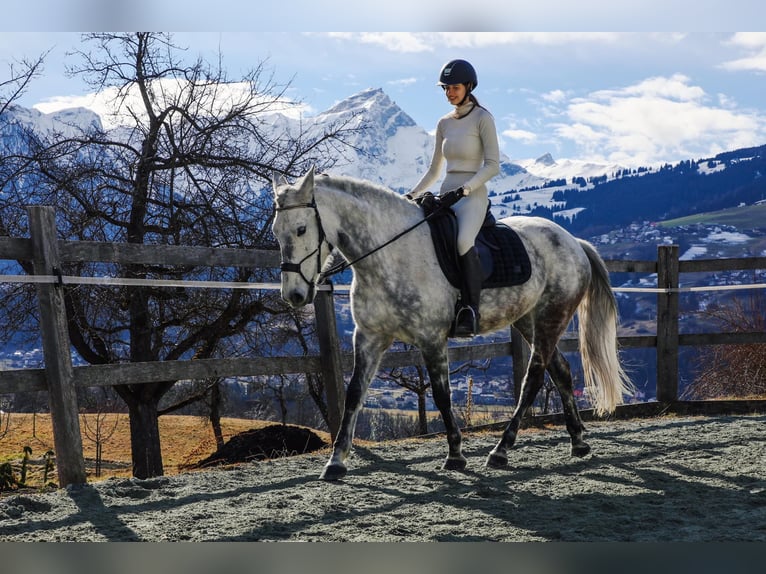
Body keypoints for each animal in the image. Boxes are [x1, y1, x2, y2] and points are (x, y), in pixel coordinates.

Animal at [272, 168, 632, 482]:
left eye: (302, 229)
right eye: (276, 231)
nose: (294, 295)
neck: (390, 255)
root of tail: (573, 242)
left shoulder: (431, 339)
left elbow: (442, 395)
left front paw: (455, 455)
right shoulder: (369, 337)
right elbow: (354, 394)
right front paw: (336, 462)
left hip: (551, 317)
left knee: (533, 378)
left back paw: (501, 450)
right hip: (529, 321)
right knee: (560, 370)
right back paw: (578, 442)